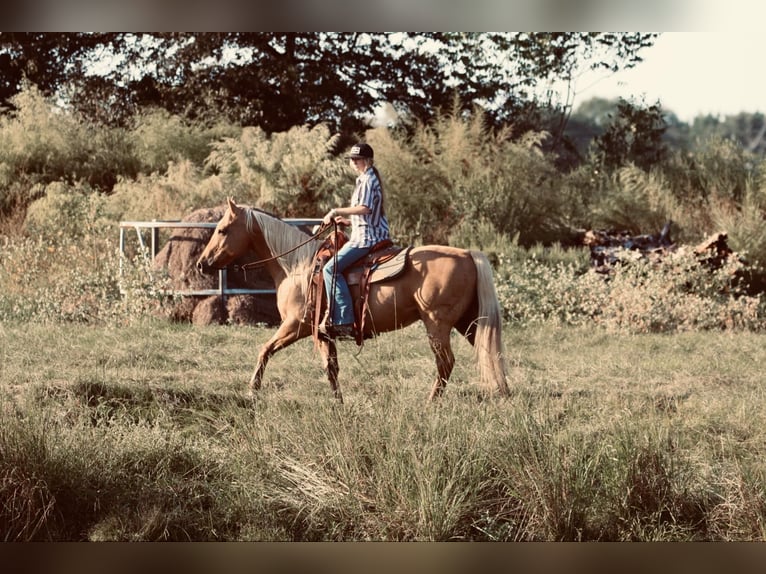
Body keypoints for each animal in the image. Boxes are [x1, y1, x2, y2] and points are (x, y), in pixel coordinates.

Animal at [196, 199, 510, 404]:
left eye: (222, 229)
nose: (201, 264)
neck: (297, 266)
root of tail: (467, 254)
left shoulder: (296, 325)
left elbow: (265, 350)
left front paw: (252, 389)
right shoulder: (323, 332)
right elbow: (331, 368)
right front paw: (339, 403)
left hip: (438, 324)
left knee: (445, 363)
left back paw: (431, 402)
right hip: (469, 322)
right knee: (490, 353)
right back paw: (503, 394)